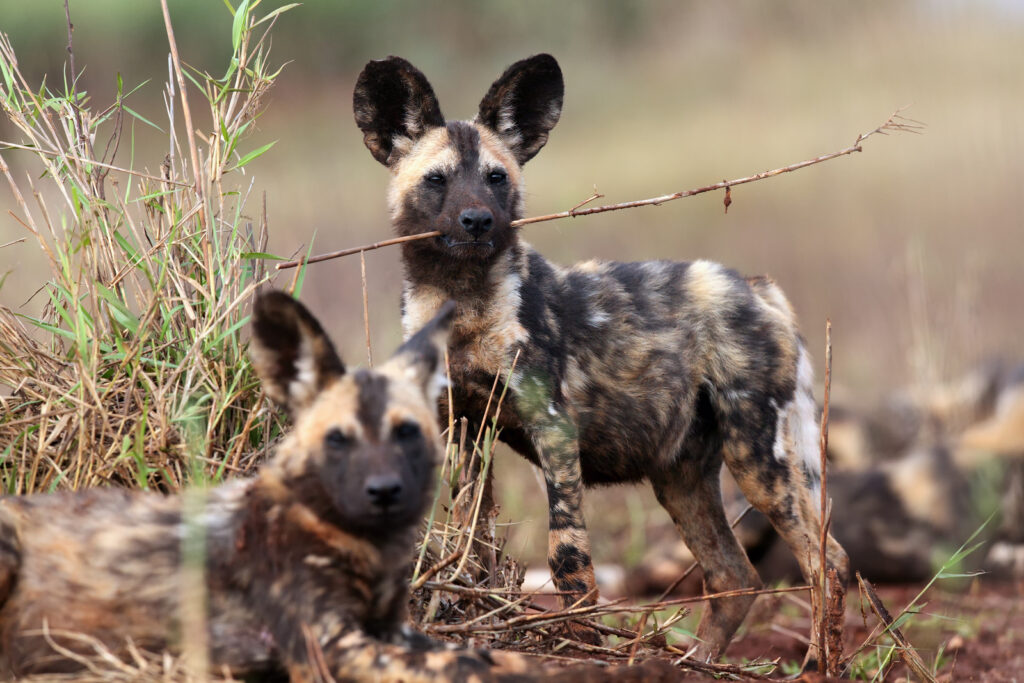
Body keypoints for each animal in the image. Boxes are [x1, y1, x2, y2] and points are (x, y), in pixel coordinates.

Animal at [0, 292, 527, 681]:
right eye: (338, 439)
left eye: (407, 432)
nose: (384, 491)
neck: (366, 547)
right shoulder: (330, 644)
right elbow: (463, 666)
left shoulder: (394, 630)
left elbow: (487, 656)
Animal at [353, 54, 849, 660]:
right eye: (437, 179)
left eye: (496, 178)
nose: (477, 220)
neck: (464, 305)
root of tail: (755, 286)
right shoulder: (465, 432)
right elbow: (472, 547)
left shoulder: (553, 429)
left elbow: (567, 554)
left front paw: (581, 642)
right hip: (682, 480)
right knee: (735, 576)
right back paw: (698, 661)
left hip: (757, 459)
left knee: (827, 562)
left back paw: (816, 664)